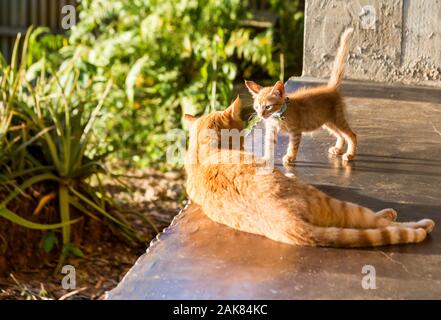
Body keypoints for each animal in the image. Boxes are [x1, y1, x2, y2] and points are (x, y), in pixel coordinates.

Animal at [246, 28, 356, 166]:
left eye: (267, 107)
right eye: (256, 107)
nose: (260, 115)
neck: (278, 115)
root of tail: (331, 88)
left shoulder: (295, 131)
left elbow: (293, 145)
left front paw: (290, 157)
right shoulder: (271, 130)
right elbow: (268, 146)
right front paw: (266, 159)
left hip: (337, 119)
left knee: (351, 135)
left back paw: (350, 154)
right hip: (327, 121)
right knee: (341, 135)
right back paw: (338, 148)